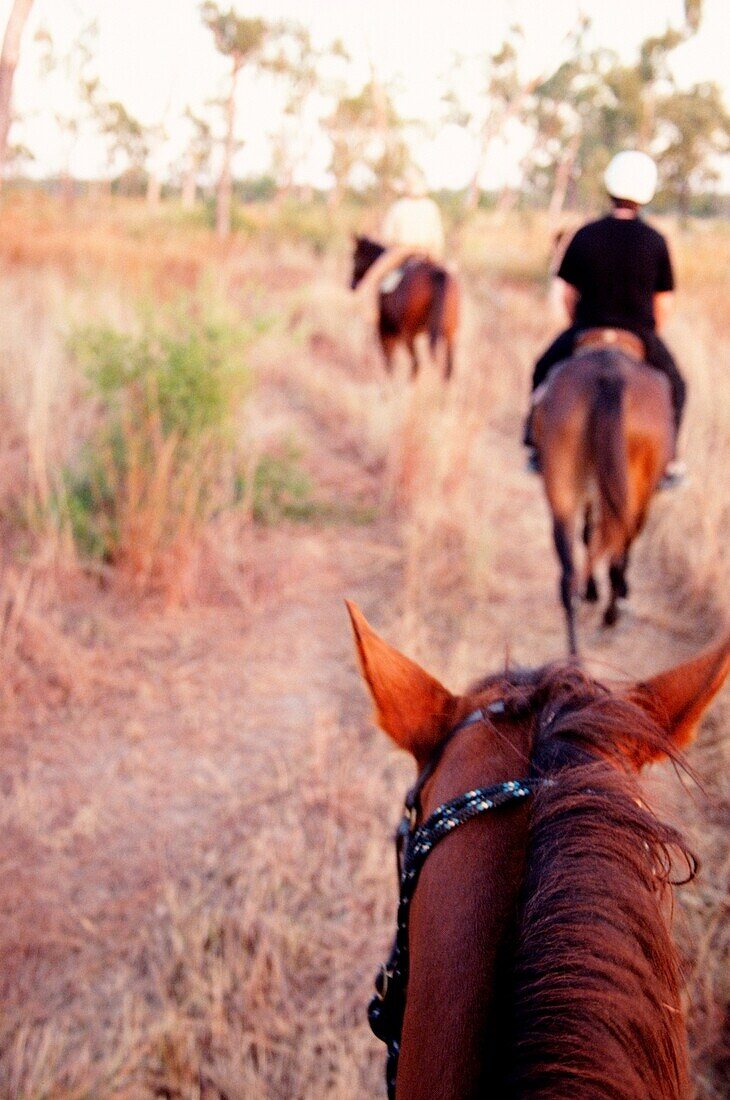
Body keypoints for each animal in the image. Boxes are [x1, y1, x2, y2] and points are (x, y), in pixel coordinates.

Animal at [351, 234, 459, 380]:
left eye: (354, 257)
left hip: (408, 334)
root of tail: (436, 272)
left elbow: (389, 361)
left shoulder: (385, 331)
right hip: (449, 334)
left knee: (416, 363)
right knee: (448, 369)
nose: (351, 284)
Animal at [529, 336, 677, 651]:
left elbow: (589, 535)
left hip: (563, 485)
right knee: (618, 551)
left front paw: (593, 593)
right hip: (634, 493)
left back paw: (574, 655)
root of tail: (610, 377)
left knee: (568, 576)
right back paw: (611, 616)